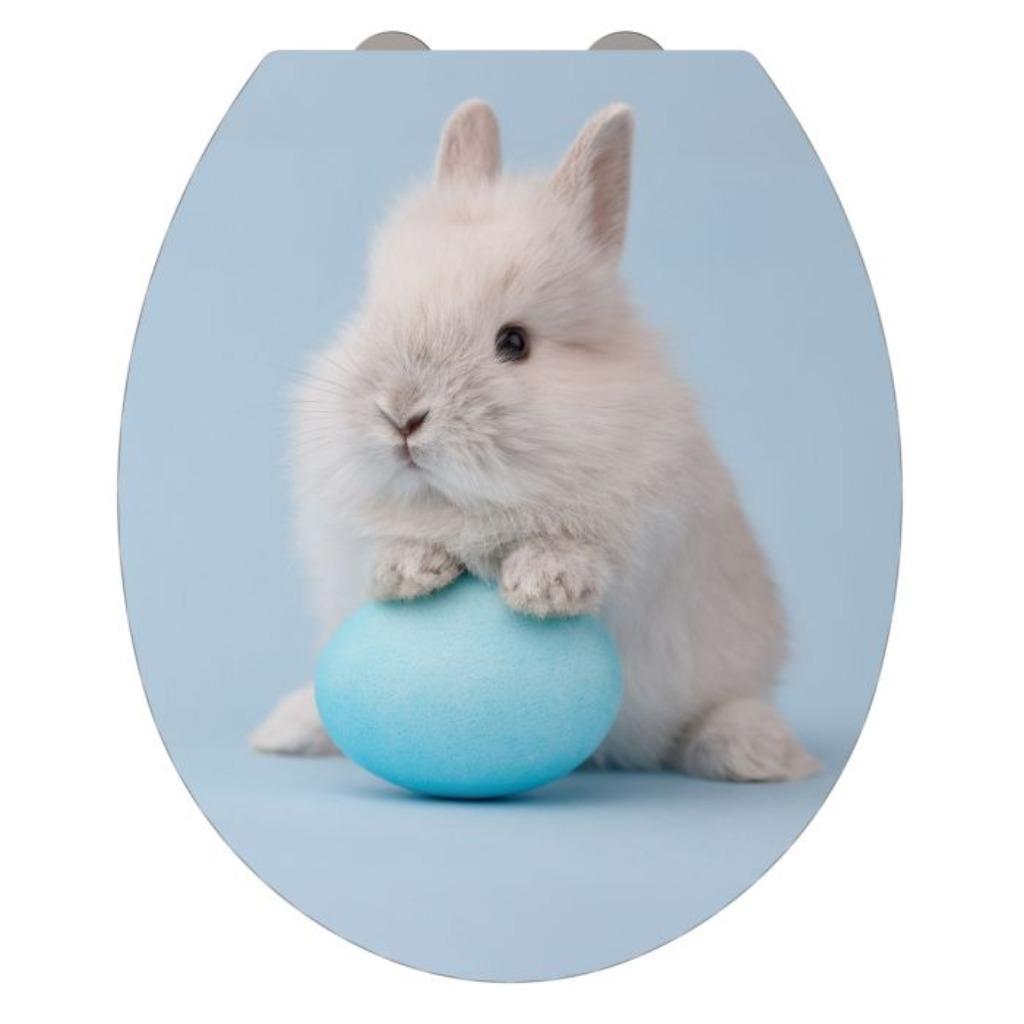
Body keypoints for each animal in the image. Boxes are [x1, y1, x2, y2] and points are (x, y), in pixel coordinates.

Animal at [249, 99, 820, 781]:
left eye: (514, 343)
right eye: (376, 313)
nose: (401, 415)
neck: (464, 507)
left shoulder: (645, 539)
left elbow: (585, 557)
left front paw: (543, 587)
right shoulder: (345, 540)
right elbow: (380, 553)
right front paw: (412, 567)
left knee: (713, 715)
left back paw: (759, 752)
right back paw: (284, 729)